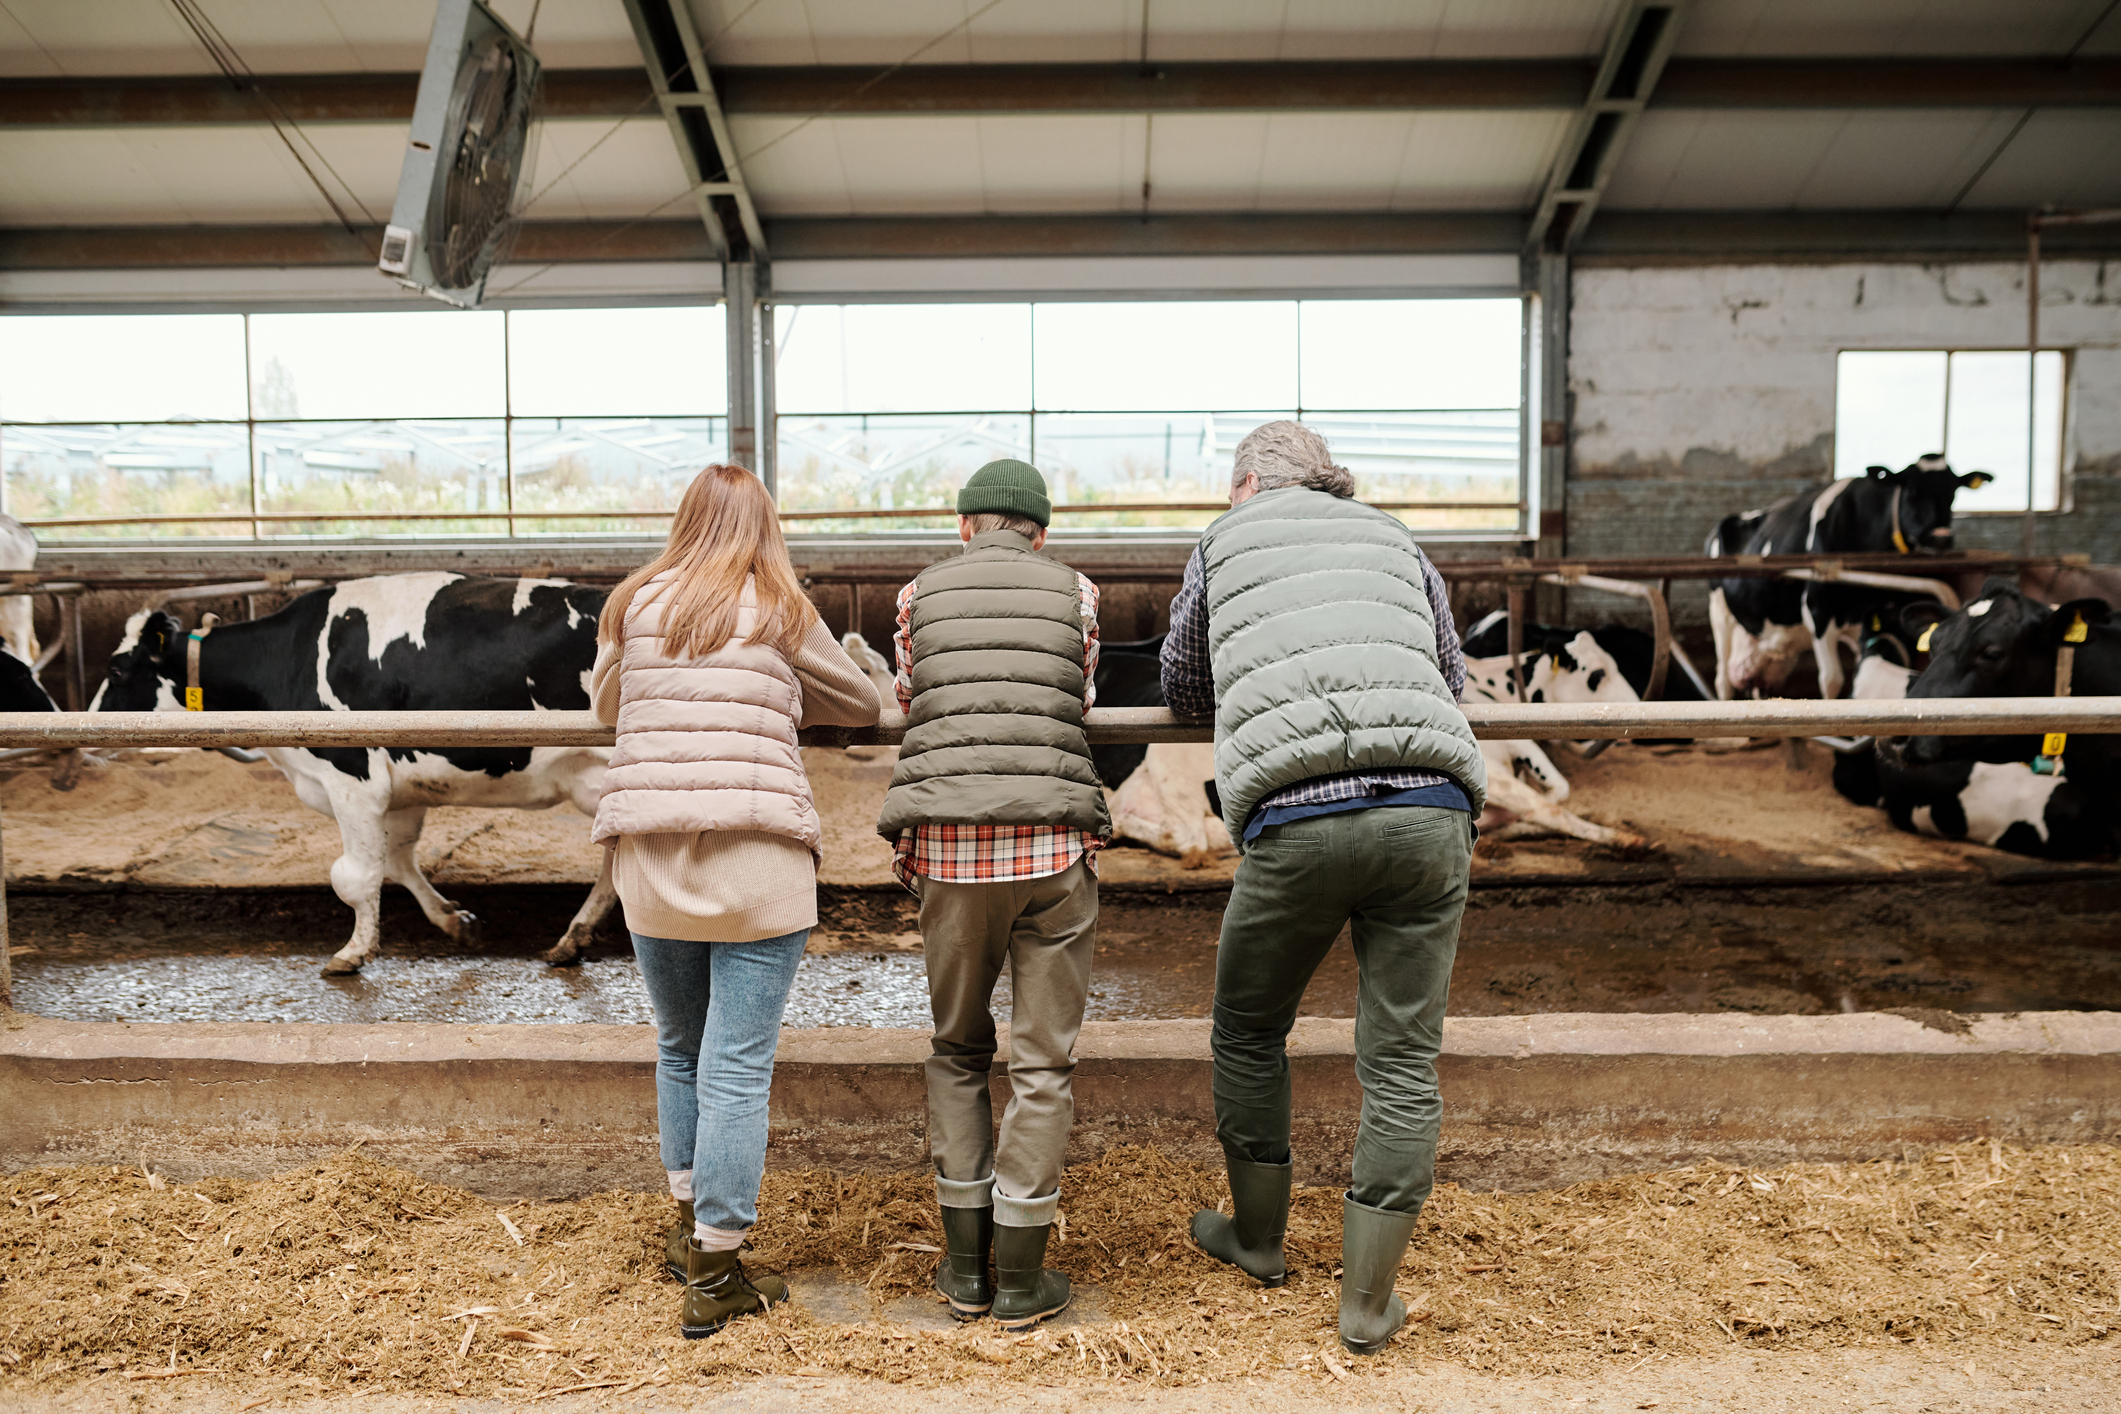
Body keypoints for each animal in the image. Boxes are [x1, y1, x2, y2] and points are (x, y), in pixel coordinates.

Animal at [96, 572, 619, 975]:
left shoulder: (353, 778)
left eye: (117, 671)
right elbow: (398, 860)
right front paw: (452, 918)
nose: (92, 723)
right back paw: (571, 939)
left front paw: (353, 952)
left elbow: (355, 876)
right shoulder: (402, 790)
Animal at [1705, 460, 1985, 703]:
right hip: (1719, 613)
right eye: (1912, 490)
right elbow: (1832, 681)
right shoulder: (1817, 609)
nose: (1941, 538)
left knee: (1758, 682)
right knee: (1723, 680)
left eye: (1953, 492)